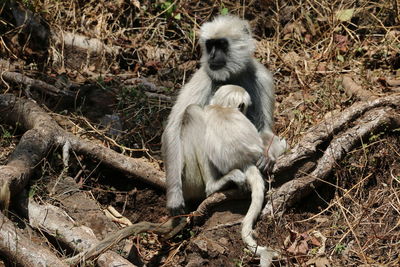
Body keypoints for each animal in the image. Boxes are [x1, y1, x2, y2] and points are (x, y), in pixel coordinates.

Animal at [161, 14, 286, 216]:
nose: (211, 55)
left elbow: (265, 130)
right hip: (190, 180)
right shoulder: (203, 76)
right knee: (192, 112)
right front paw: (174, 198)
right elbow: (172, 127)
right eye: (210, 45)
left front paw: (267, 157)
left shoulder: (263, 77)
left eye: (221, 44)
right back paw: (215, 185)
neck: (231, 75)